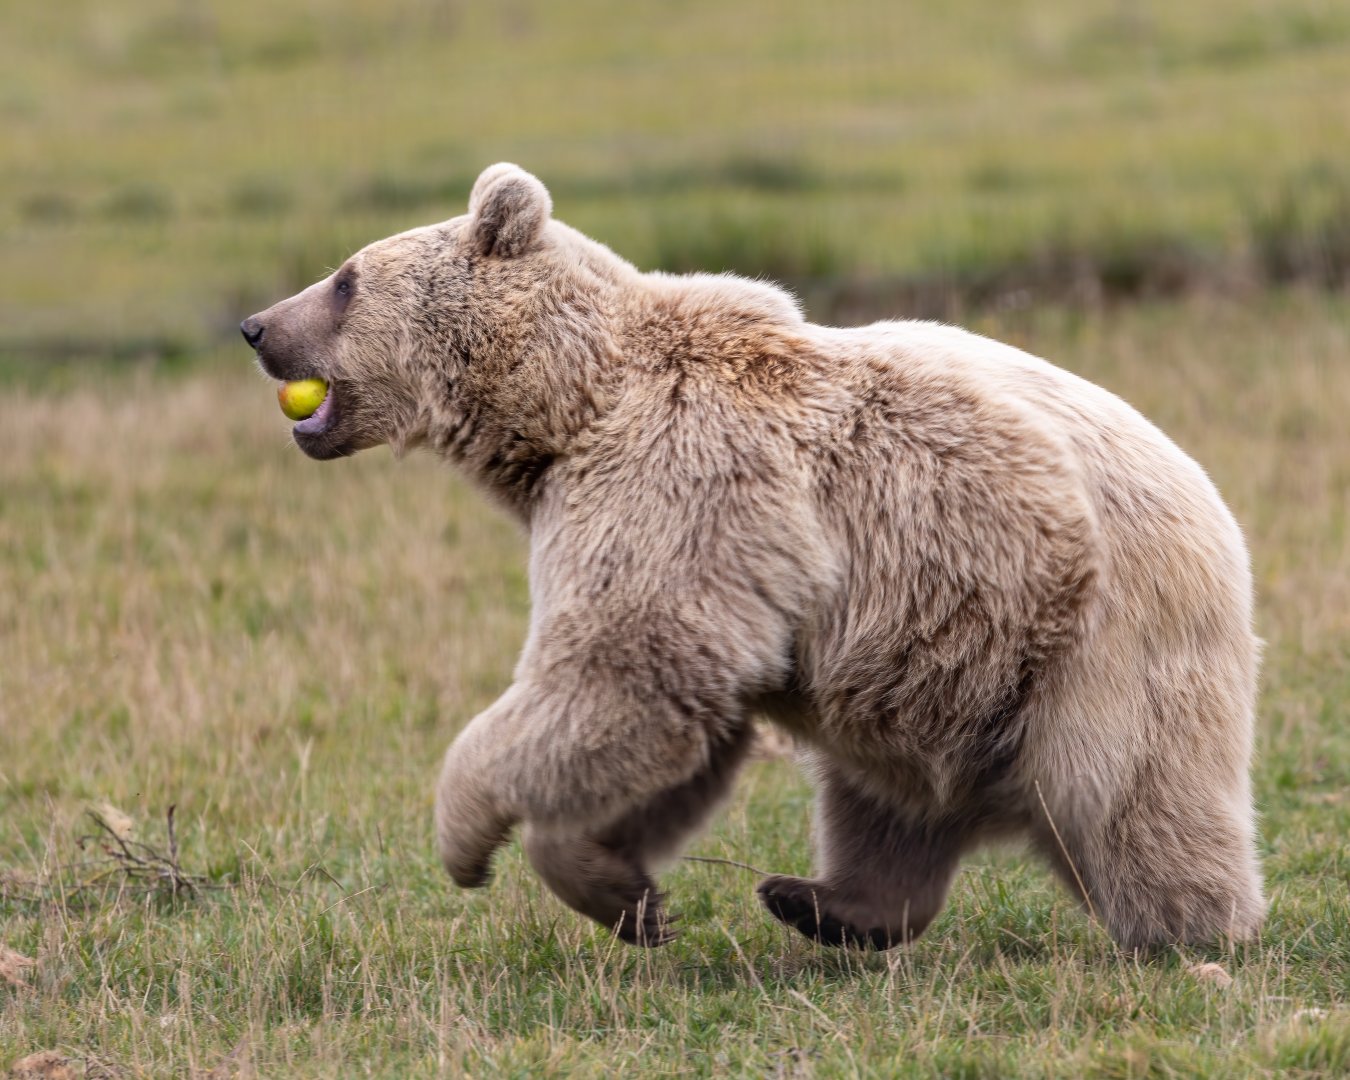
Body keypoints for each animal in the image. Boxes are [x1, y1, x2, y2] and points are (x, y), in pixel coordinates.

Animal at [242, 162, 1265, 951]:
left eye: (344, 278)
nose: (256, 326)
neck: (566, 410)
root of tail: (1216, 506)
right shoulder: (716, 551)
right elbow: (680, 723)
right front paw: (625, 892)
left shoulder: (681, 480)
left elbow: (620, 671)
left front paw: (466, 834)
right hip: (928, 667)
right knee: (886, 804)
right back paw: (820, 902)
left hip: (1087, 637)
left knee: (1132, 801)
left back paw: (1193, 936)